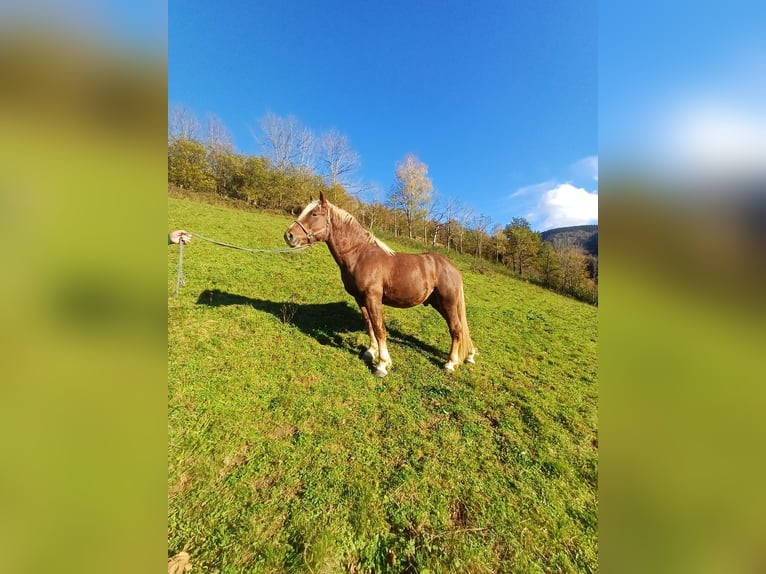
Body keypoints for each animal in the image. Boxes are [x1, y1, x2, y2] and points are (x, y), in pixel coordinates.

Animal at [284, 194, 476, 380]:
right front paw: (371, 352)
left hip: (448, 303)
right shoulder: (360, 299)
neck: (360, 255)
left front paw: (382, 365)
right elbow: (369, 325)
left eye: (314, 214)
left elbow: (379, 328)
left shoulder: (373, 298)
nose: (289, 236)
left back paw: (450, 363)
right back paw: (468, 355)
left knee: (456, 329)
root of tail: (452, 267)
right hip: (439, 304)